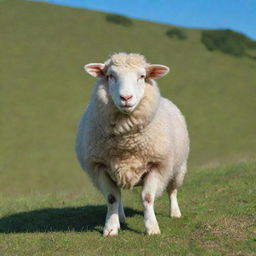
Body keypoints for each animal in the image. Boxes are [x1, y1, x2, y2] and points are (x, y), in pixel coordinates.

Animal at [75, 52, 189, 236]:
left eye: (142, 76)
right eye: (110, 76)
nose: (126, 98)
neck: (126, 143)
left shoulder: (157, 165)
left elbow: (147, 197)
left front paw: (152, 227)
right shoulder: (99, 167)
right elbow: (112, 198)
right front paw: (111, 227)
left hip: (178, 168)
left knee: (172, 190)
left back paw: (175, 213)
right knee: (119, 196)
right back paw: (120, 217)